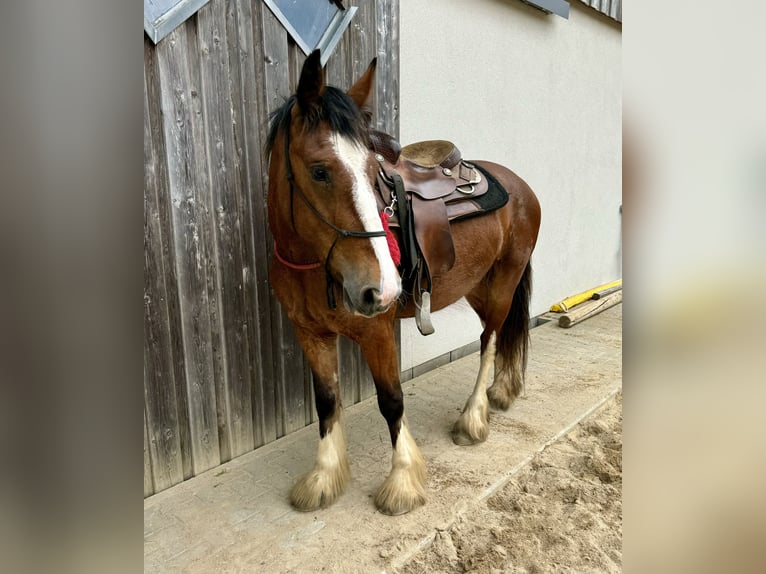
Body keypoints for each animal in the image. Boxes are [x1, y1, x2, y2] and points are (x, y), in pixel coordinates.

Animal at [268, 50, 544, 516]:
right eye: (319, 171)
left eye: (372, 171)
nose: (382, 288)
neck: (312, 262)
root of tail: (520, 186)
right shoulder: (310, 332)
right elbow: (326, 401)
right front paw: (324, 477)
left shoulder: (377, 331)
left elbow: (391, 400)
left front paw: (402, 482)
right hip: (477, 285)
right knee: (502, 331)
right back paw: (503, 391)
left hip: (505, 279)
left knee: (489, 339)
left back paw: (473, 418)